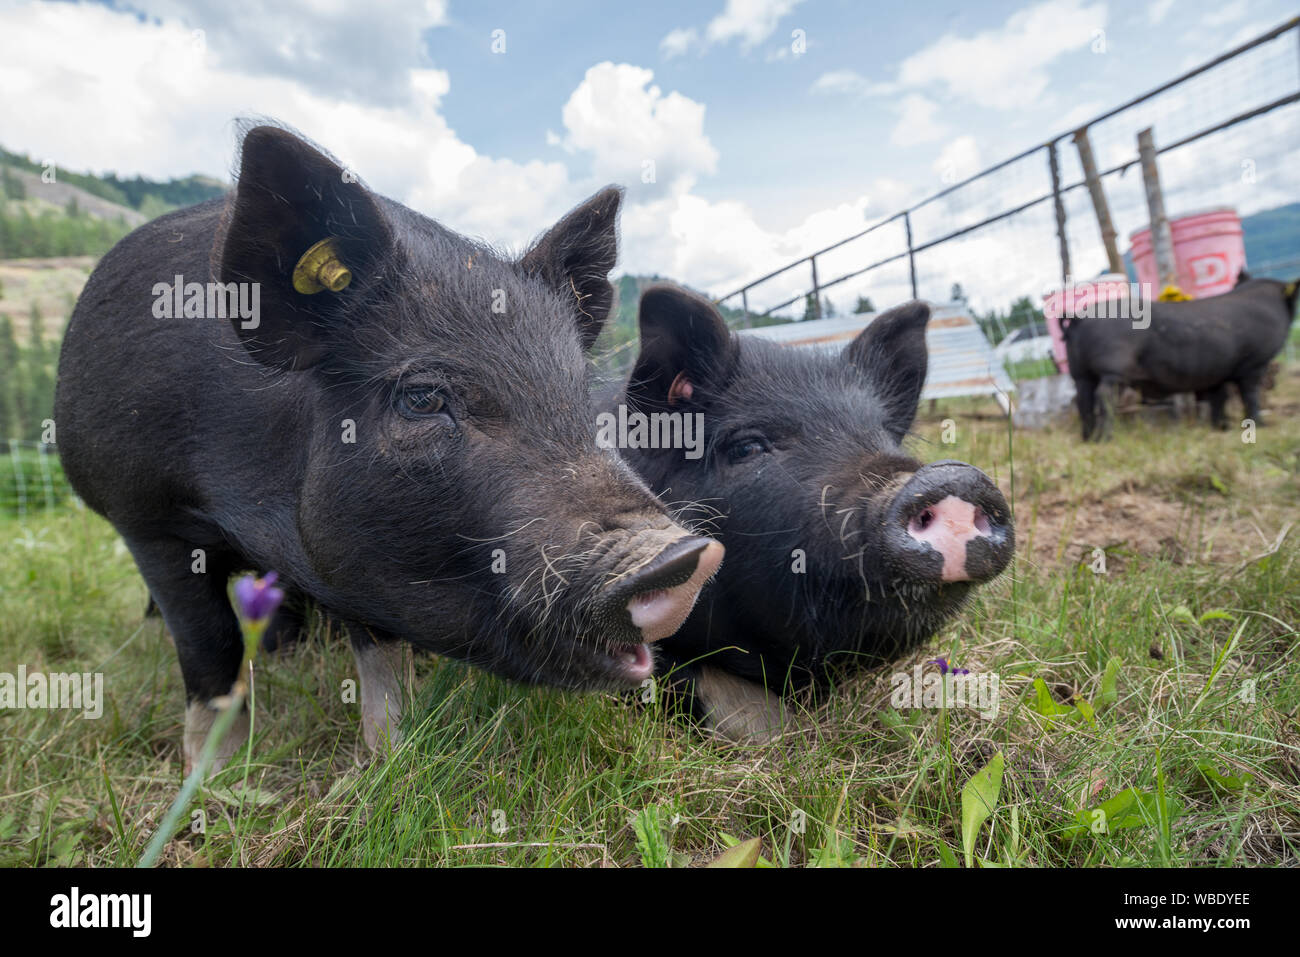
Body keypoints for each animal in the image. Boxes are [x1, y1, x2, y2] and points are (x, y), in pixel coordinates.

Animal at [58, 125, 722, 769]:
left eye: (578, 392)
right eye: (423, 397)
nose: (684, 555)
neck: (245, 502)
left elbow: (379, 653)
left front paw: (389, 757)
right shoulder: (145, 515)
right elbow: (207, 644)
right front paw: (210, 775)